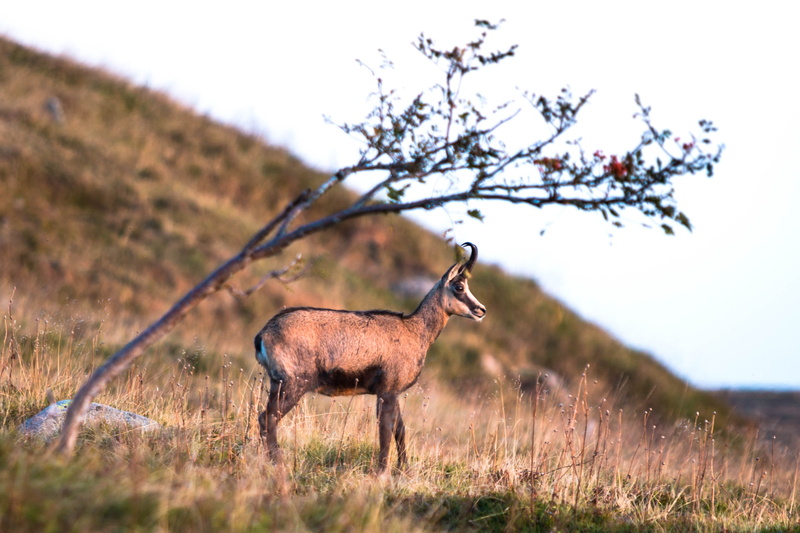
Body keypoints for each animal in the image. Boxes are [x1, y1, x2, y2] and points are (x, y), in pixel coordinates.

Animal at [254, 242, 486, 473]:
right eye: (459, 287)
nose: (481, 310)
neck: (414, 330)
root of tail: (264, 334)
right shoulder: (387, 392)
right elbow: (385, 431)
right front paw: (382, 471)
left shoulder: (392, 392)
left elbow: (399, 429)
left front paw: (404, 469)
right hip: (293, 384)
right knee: (268, 418)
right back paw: (278, 462)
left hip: (277, 384)